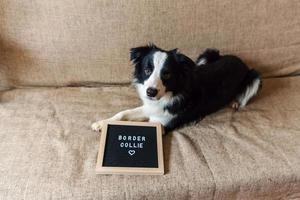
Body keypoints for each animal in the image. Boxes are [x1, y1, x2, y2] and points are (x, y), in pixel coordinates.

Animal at [91, 44, 260, 134]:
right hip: (207, 55)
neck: (172, 92)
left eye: (167, 74)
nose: (150, 92)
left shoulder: (162, 124)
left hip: (254, 77)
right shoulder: (150, 107)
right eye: (147, 70)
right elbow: (123, 113)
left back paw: (236, 102)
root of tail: (240, 61)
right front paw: (102, 123)